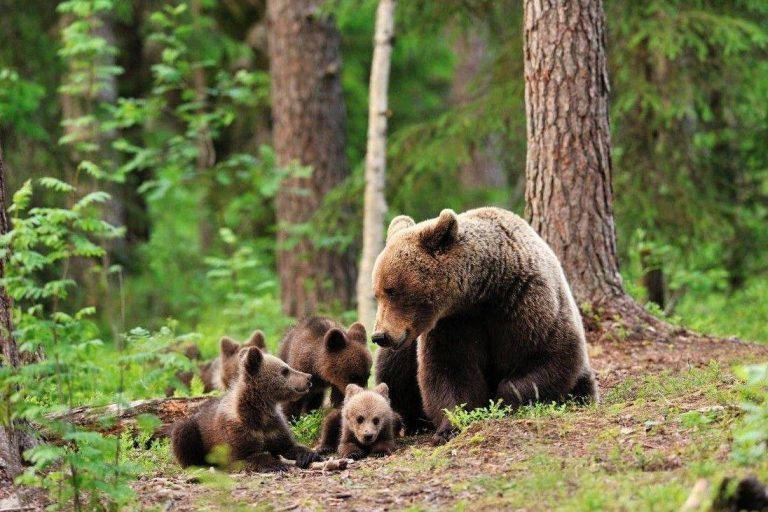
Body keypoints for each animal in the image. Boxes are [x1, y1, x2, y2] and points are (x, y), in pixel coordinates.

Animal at [370, 208, 592, 444]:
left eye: (392, 290)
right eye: (377, 293)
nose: (380, 336)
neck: (484, 290)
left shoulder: (527, 303)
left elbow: (547, 355)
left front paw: (505, 401)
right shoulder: (454, 324)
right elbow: (450, 370)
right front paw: (450, 427)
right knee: (392, 369)